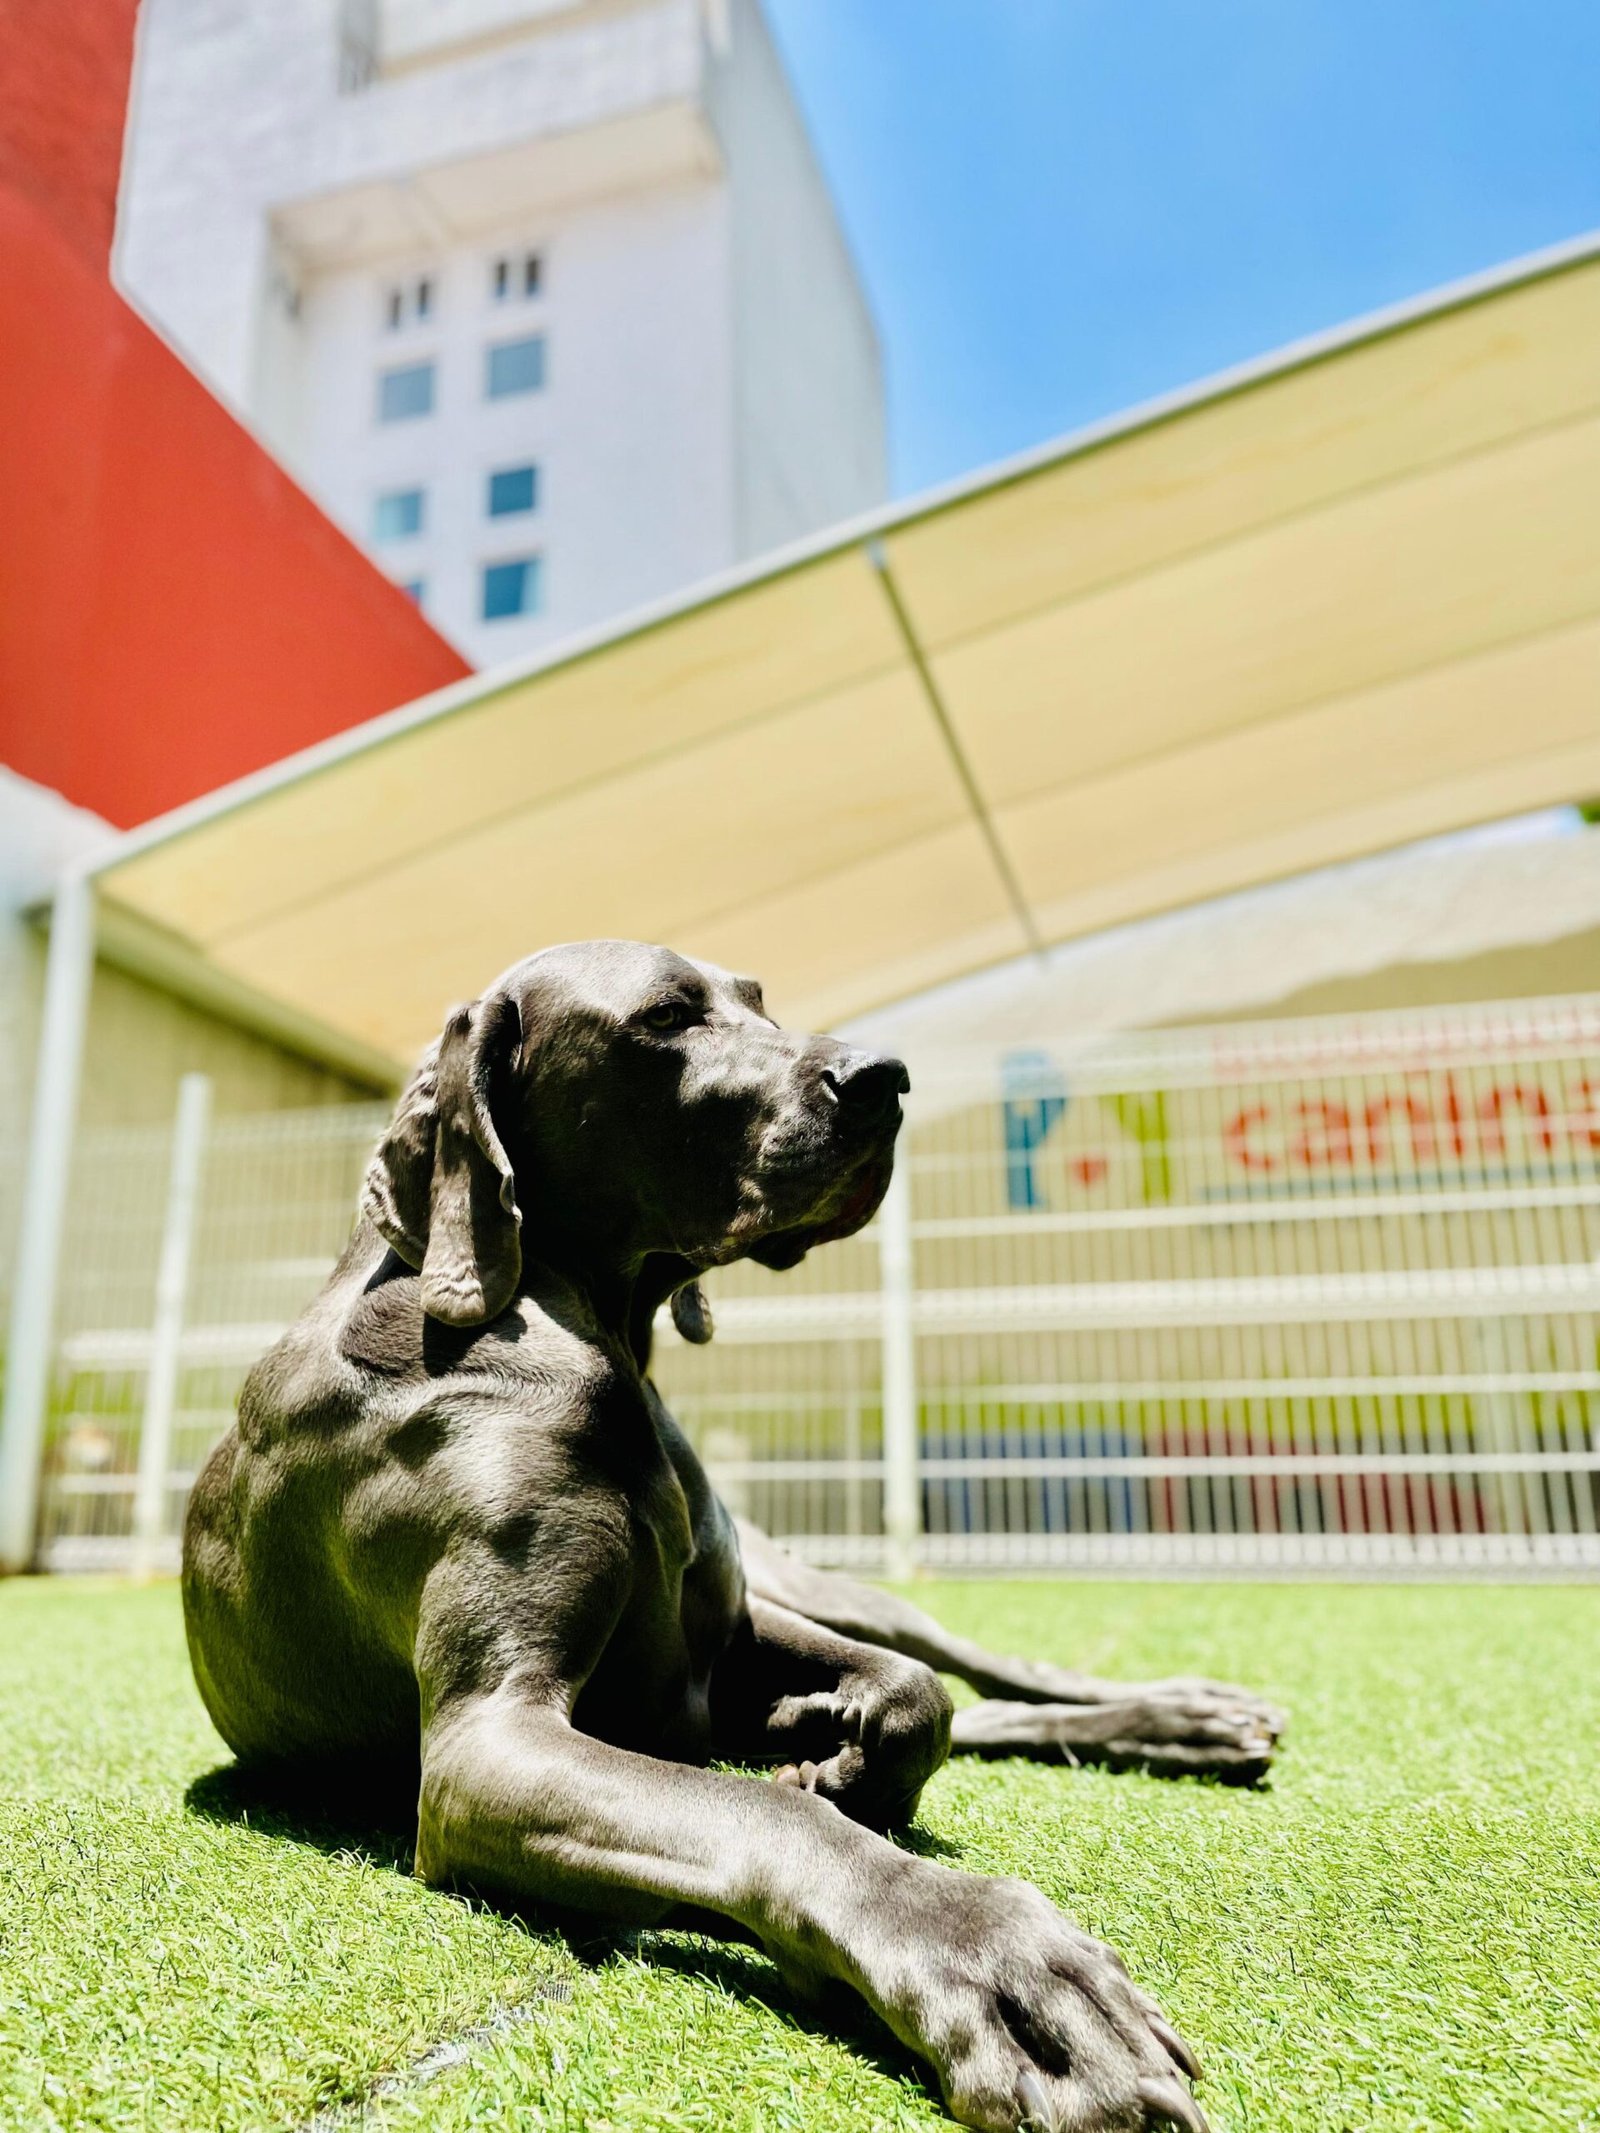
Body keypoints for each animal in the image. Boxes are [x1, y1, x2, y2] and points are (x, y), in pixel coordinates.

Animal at [184, 940, 1282, 2133]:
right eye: (667, 1017)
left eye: (759, 1000)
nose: (885, 1077)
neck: (590, 1337)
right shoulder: (487, 1745)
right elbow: (771, 1815)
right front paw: (995, 1963)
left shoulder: (738, 1622)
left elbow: (915, 1699)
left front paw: (834, 1745)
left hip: (830, 1583)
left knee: (981, 1672)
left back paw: (1186, 1717)